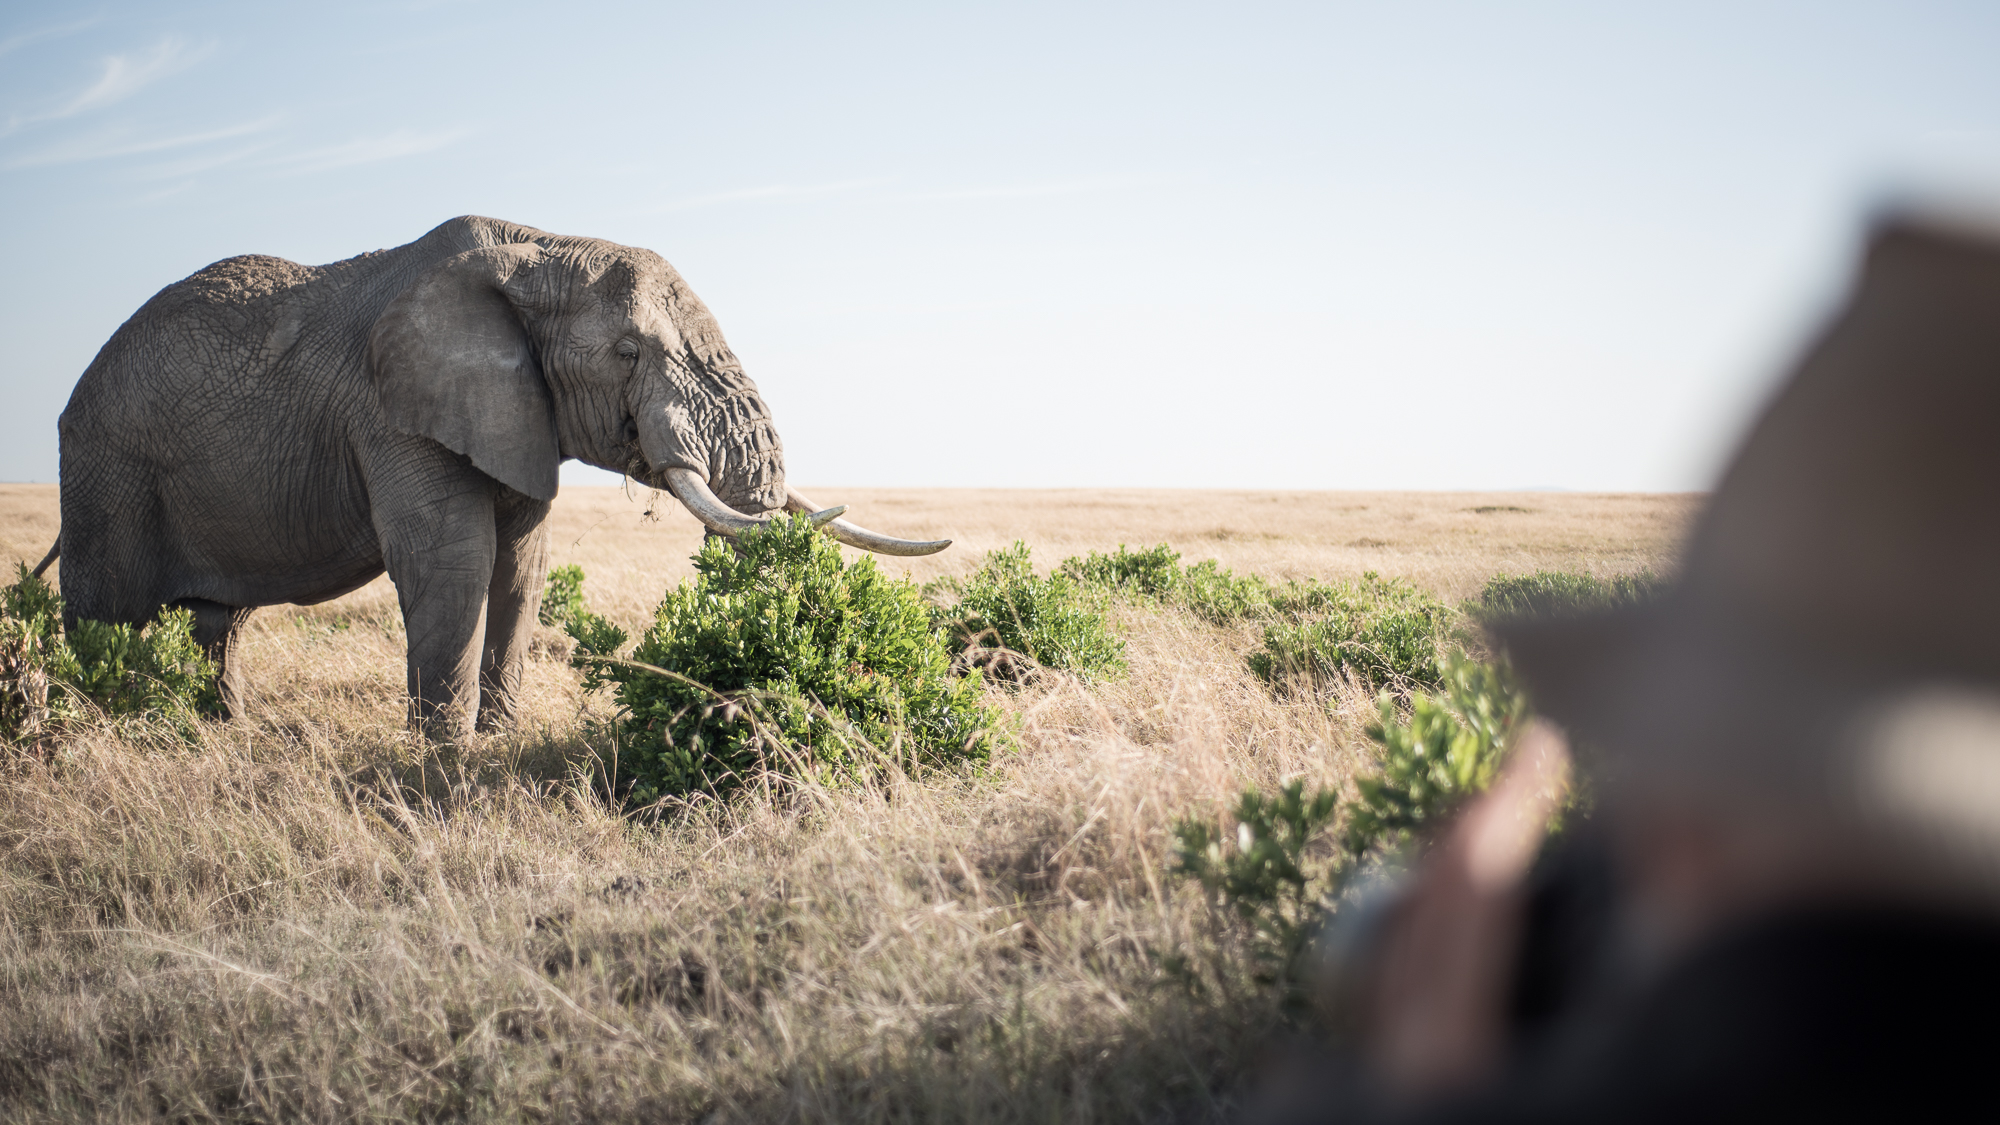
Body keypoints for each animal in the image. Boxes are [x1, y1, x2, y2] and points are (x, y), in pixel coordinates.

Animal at [45, 215, 952, 736]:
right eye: (629, 352)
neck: (537, 249)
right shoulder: (394, 409)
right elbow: (456, 562)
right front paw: (442, 763)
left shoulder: (517, 413)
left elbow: (522, 566)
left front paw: (497, 744)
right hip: (104, 473)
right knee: (102, 618)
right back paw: (91, 726)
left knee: (218, 623)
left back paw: (219, 734)